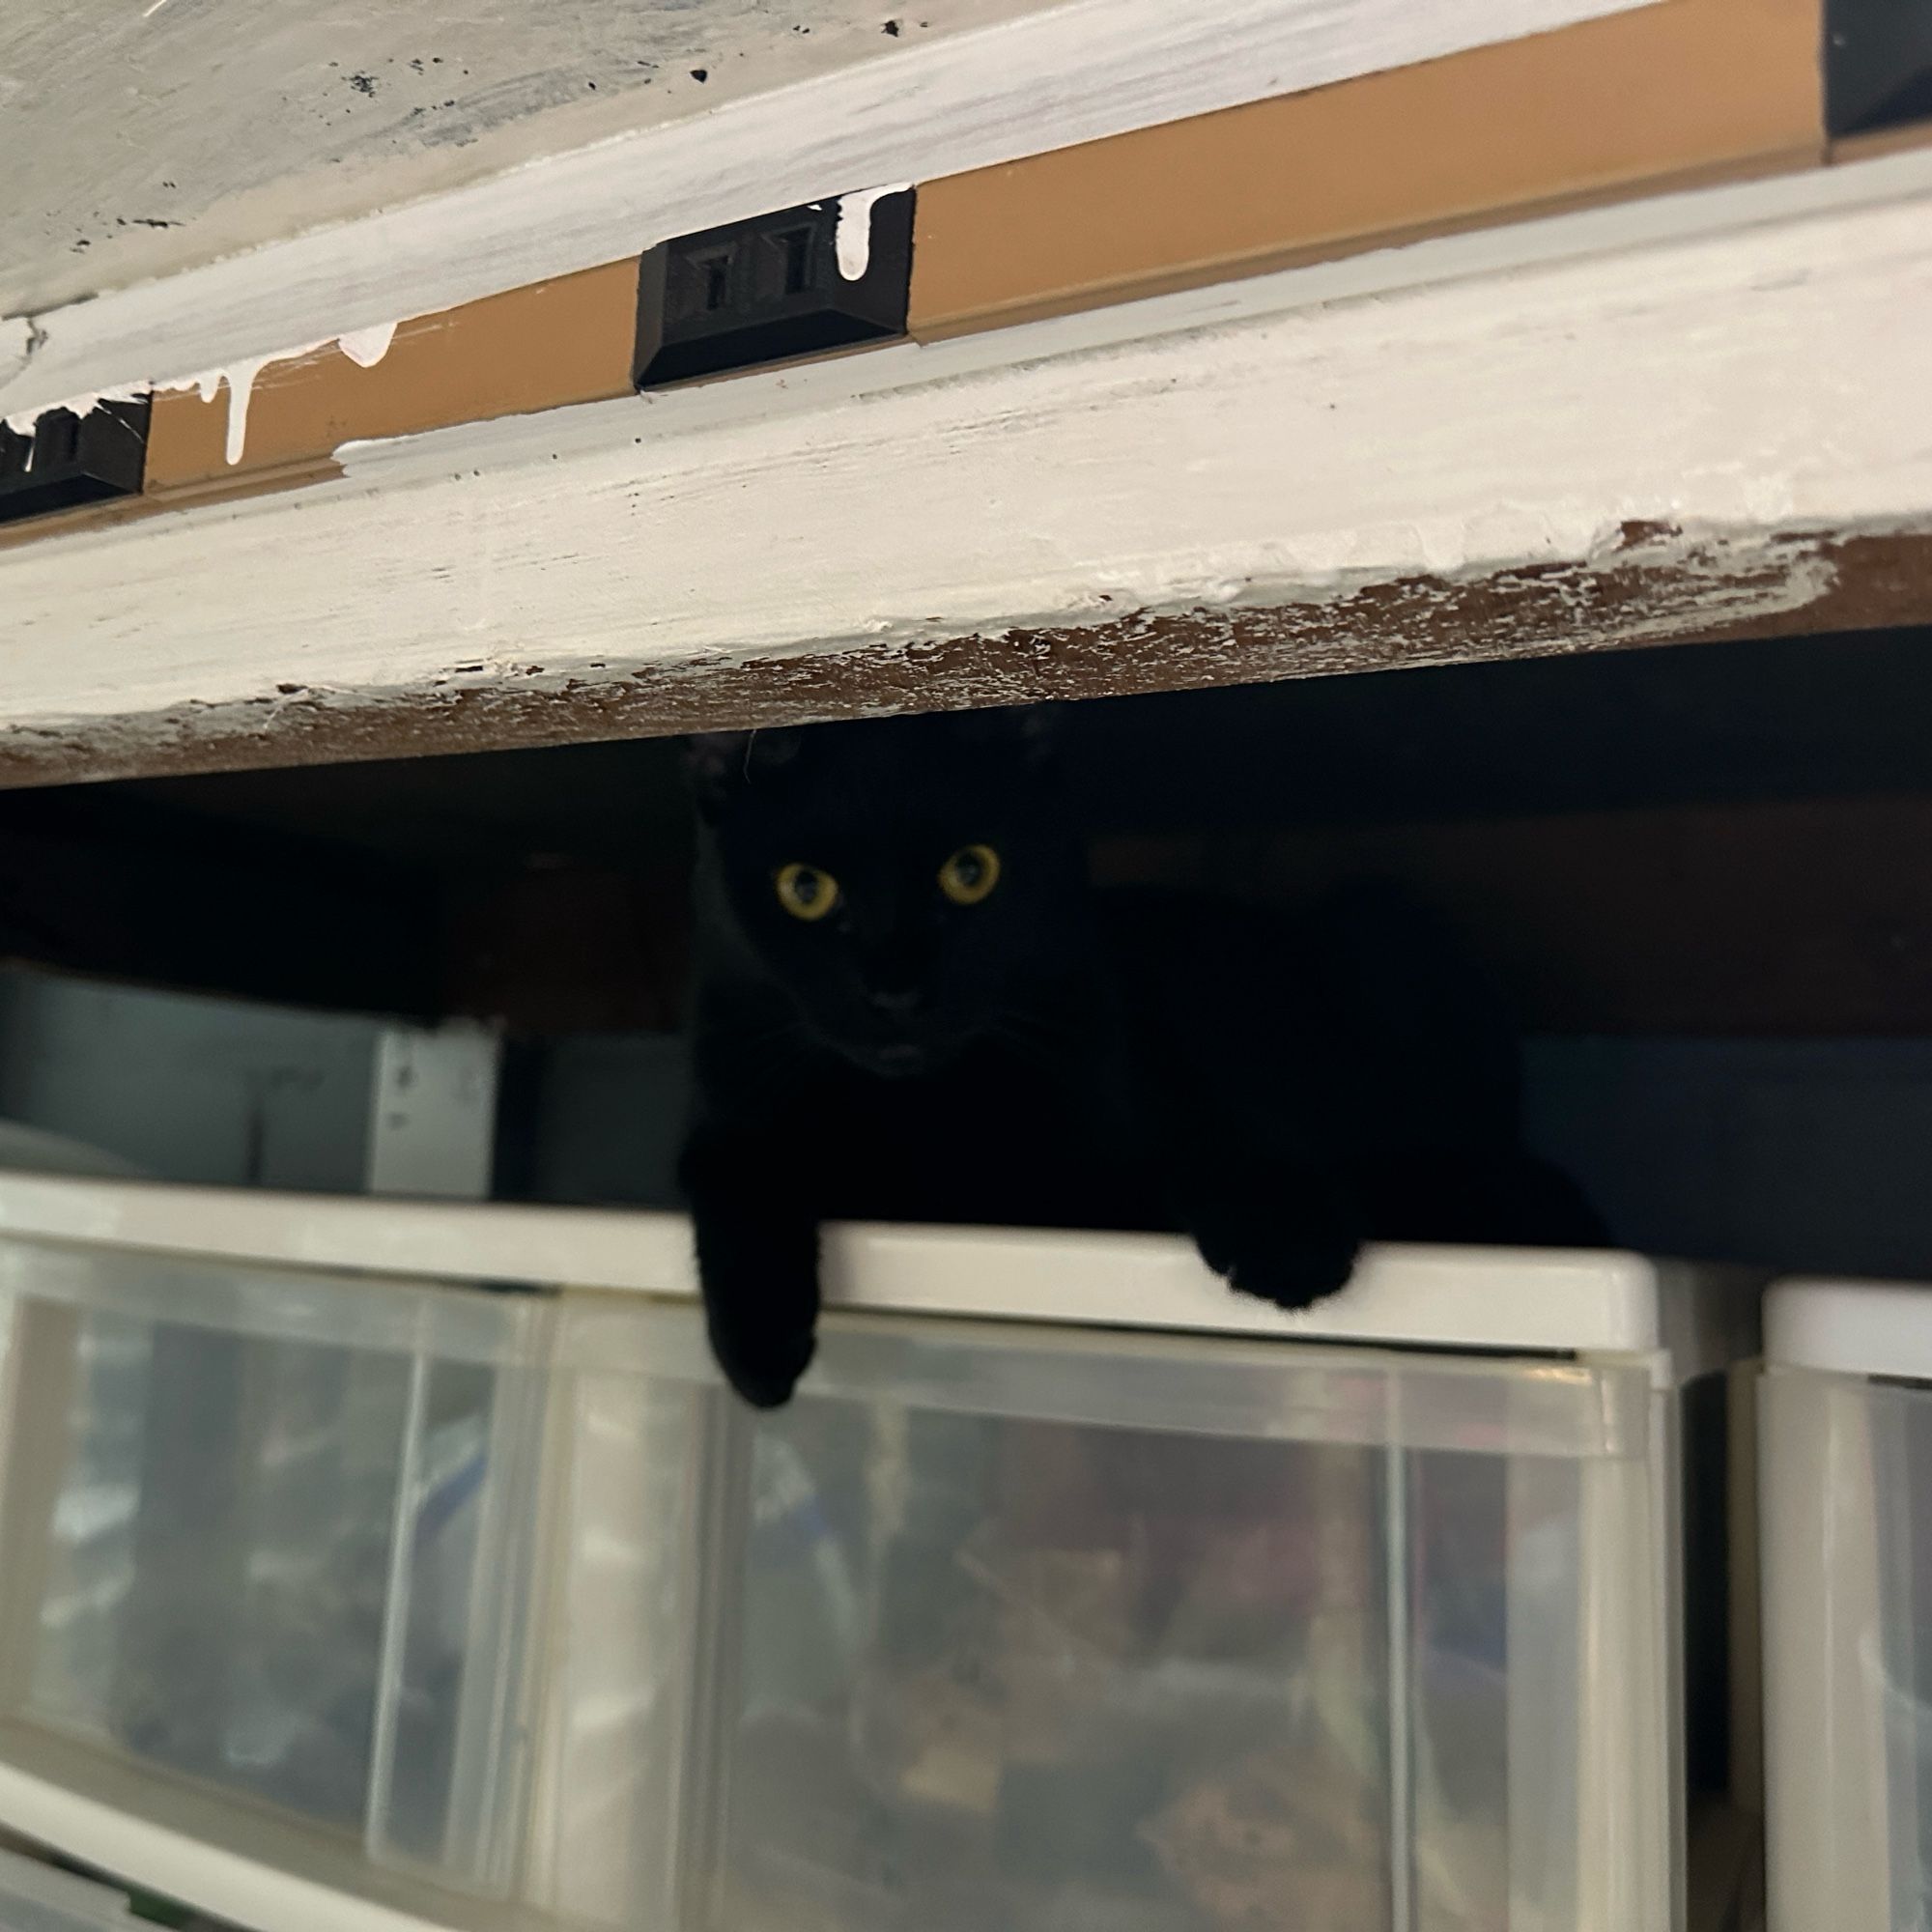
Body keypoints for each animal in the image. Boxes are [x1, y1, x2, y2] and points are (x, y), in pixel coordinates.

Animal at [680, 711, 1600, 1406]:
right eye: (805, 889)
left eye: (971, 873)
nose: (898, 992)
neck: (922, 1117)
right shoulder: (728, 1096)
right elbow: (729, 1169)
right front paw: (756, 1344)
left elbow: (1193, 1140)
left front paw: (1286, 1232)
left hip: (1394, 929)